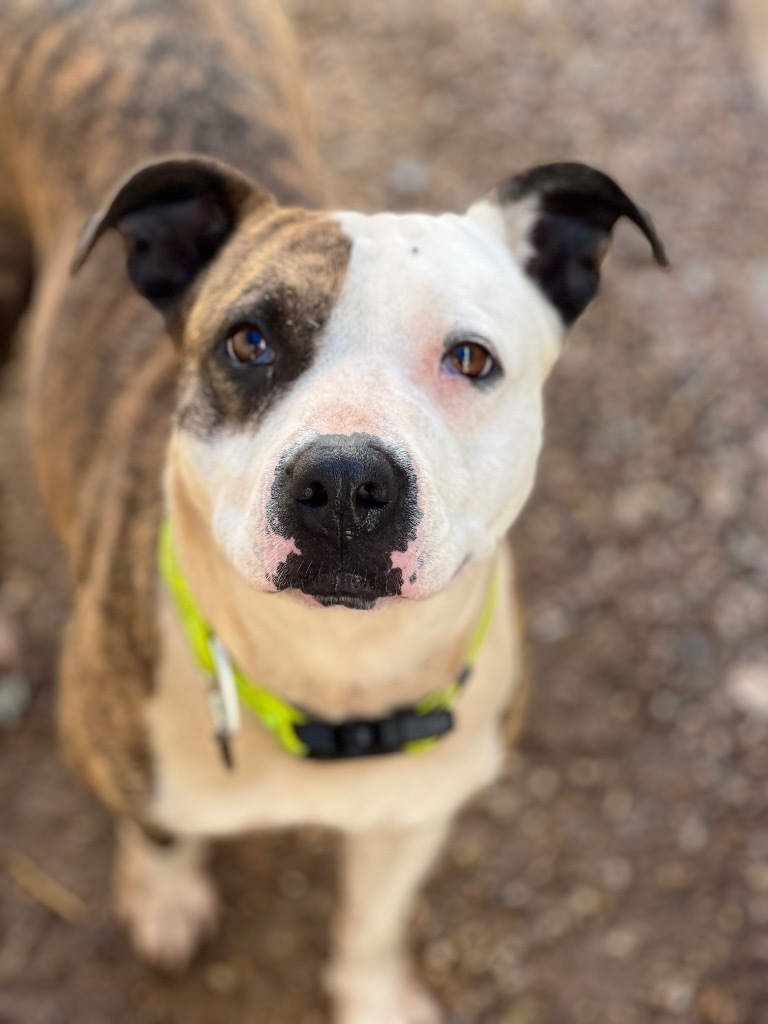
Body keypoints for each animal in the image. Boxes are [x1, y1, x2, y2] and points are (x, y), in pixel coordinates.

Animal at [0, 2, 667, 1024]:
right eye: (248, 341)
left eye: (471, 359)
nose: (346, 482)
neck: (336, 675)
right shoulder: (115, 758)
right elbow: (157, 832)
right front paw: (165, 895)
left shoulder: (417, 816)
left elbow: (370, 923)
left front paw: (375, 996)